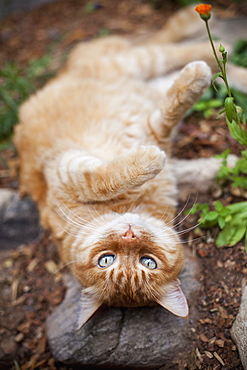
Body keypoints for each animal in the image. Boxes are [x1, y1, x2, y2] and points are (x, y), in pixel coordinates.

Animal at [13, 6, 245, 326]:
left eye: (148, 261)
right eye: (106, 260)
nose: (129, 234)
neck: (133, 204)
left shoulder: (146, 133)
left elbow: (169, 111)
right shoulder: (72, 168)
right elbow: (106, 178)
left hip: (135, 63)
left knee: (173, 47)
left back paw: (206, 42)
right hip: (139, 68)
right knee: (181, 58)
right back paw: (210, 57)